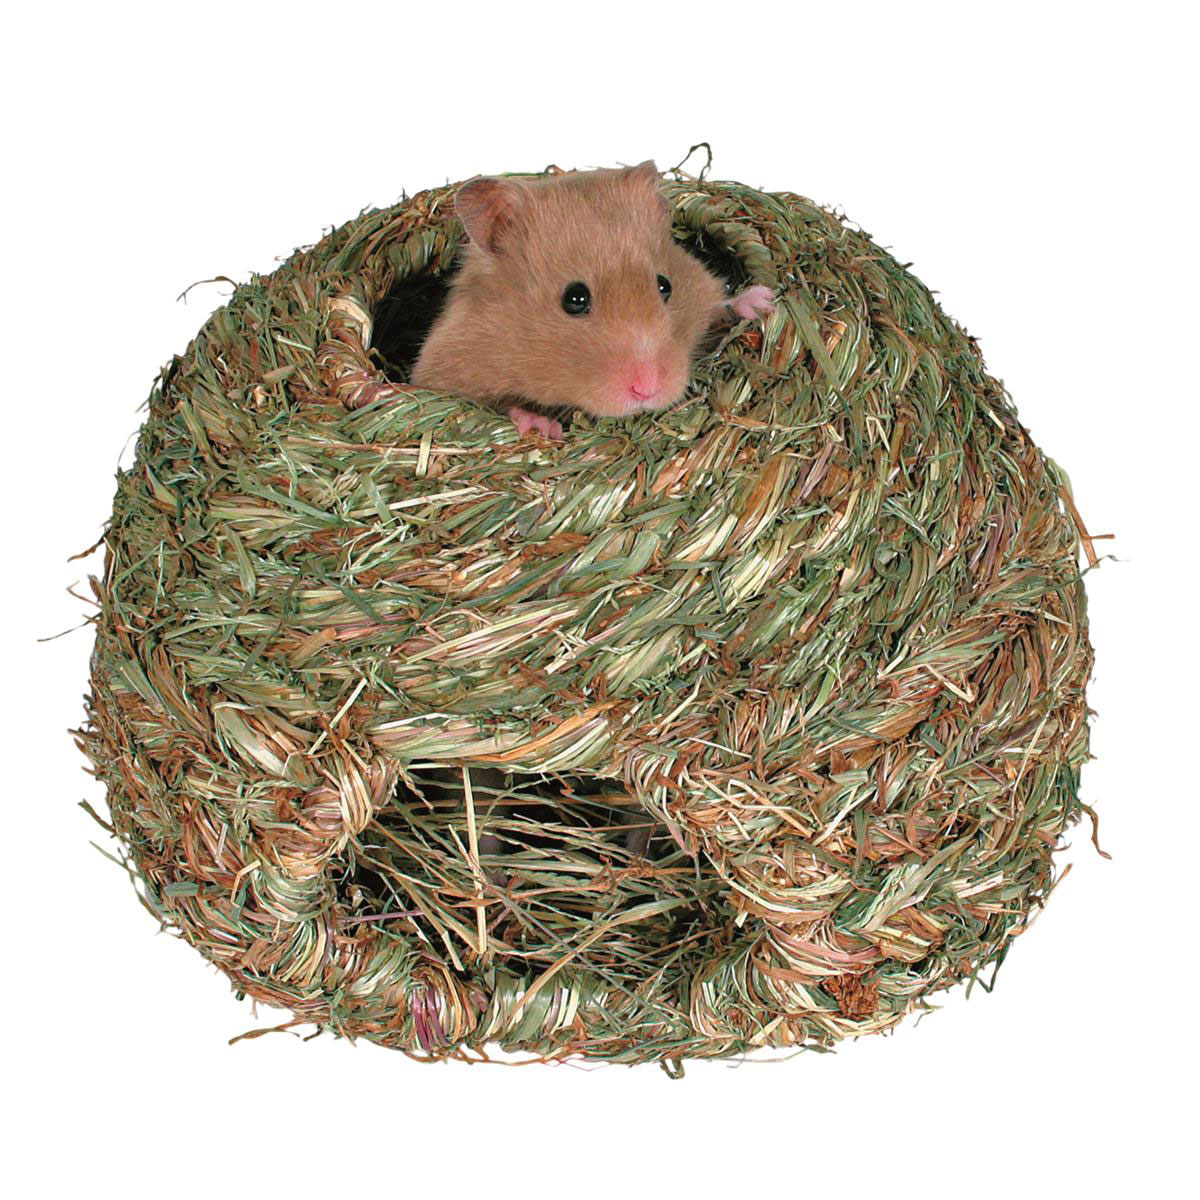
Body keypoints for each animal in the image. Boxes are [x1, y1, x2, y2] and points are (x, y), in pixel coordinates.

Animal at [410, 161, 775, 439]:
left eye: (664, 285)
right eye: (574, 298)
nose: (647, 391)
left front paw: (762, 300)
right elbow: (495, 403)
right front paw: (543, 426)